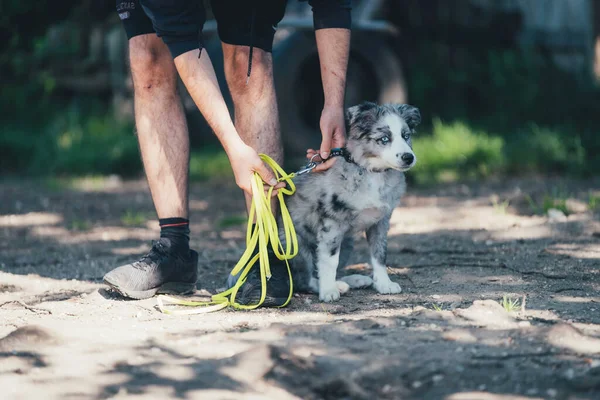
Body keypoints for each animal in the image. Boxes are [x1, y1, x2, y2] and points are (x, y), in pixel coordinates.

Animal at [284, 101, 420, 302]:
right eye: (384, 139)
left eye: (406, 135)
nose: (408, 157)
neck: (372, 172)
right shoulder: (332, 223)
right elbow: (330, 260)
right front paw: (328, 291)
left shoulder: (381, 221)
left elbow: (380, 254)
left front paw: (384, 284)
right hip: (297, 245)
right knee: (303, 280)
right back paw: (335, 286)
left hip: (347, 241)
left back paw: (353, 280)